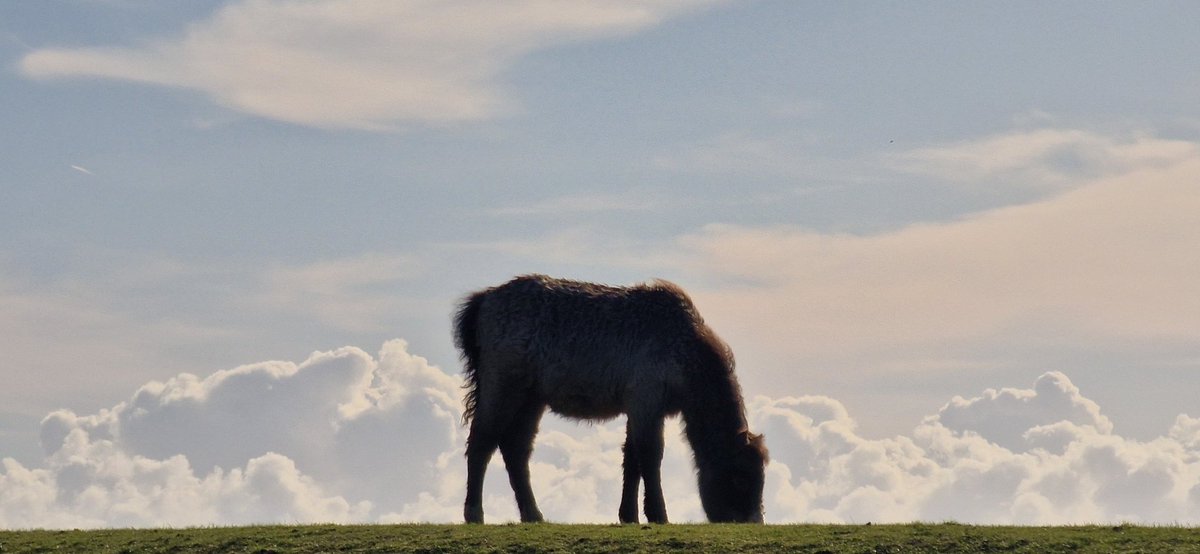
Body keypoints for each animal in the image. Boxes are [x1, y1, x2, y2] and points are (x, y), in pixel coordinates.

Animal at [454, 274, 768, 524]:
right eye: (740, 477)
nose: (752, 522)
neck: (683, 347)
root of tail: (485, 299)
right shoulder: (646, 403)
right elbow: (649, 456)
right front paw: (658, 515)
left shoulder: (639, 409)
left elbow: (631, 459)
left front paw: (629, 515)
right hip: (502, 390)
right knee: (481, 444)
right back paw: (474, 513)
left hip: (530, 401)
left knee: (515, 451)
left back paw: (533, 515)